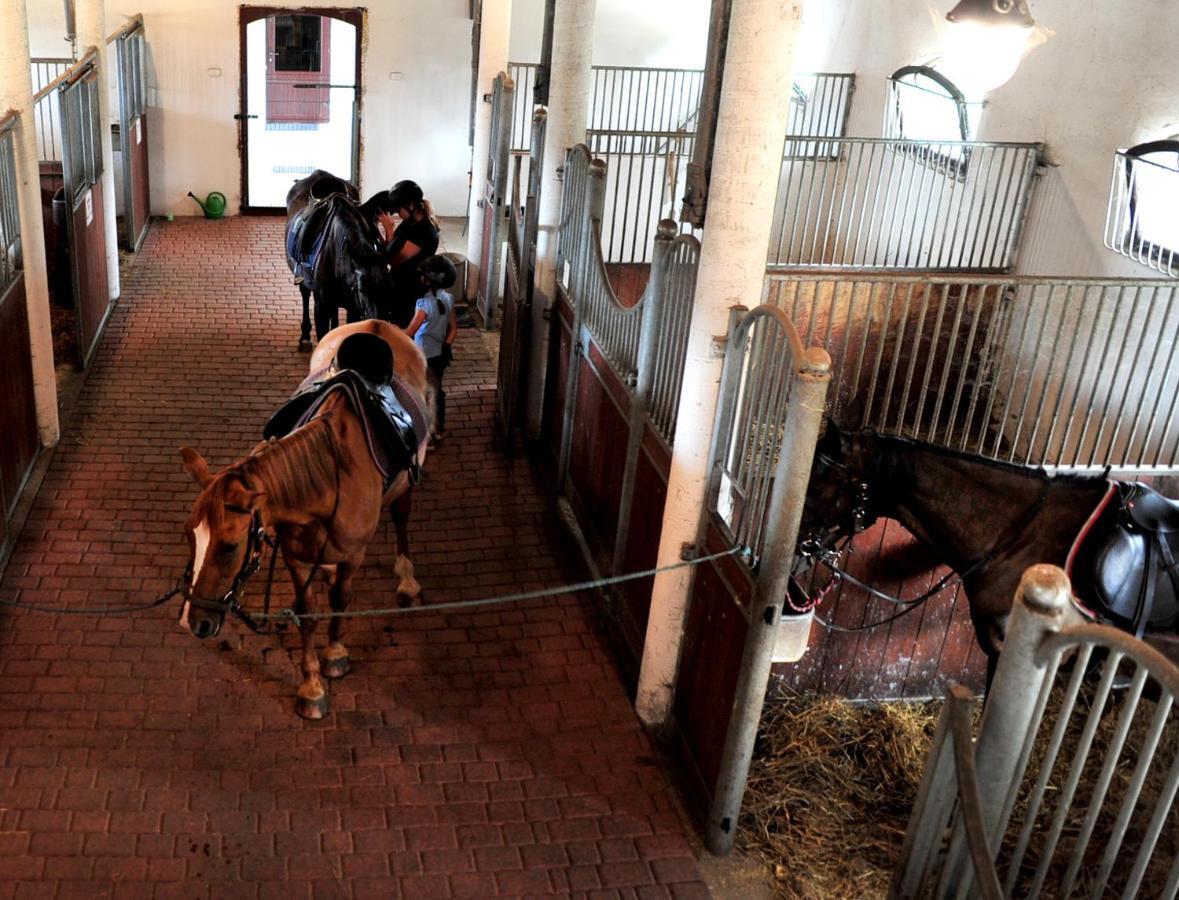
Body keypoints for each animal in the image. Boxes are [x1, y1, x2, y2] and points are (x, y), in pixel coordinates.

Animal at [176, 320, 431, 721]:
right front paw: (311, 686)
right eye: (190, 536)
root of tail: (380, 325)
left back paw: (407, 578)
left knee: (402, 514)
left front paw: (336, 656)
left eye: (230, 546)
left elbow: (340, 598)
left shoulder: (354, 553)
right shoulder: (295, 555)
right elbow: (307, 612)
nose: (192, 621)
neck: (330, 472)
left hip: (408, 481)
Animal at [285, 168, 396, 351]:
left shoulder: (354, 307)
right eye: (362, 289)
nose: (379, 326)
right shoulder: (321, 306)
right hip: (303, 278)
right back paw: (305, 336)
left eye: (389, 287)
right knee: (305, 294)